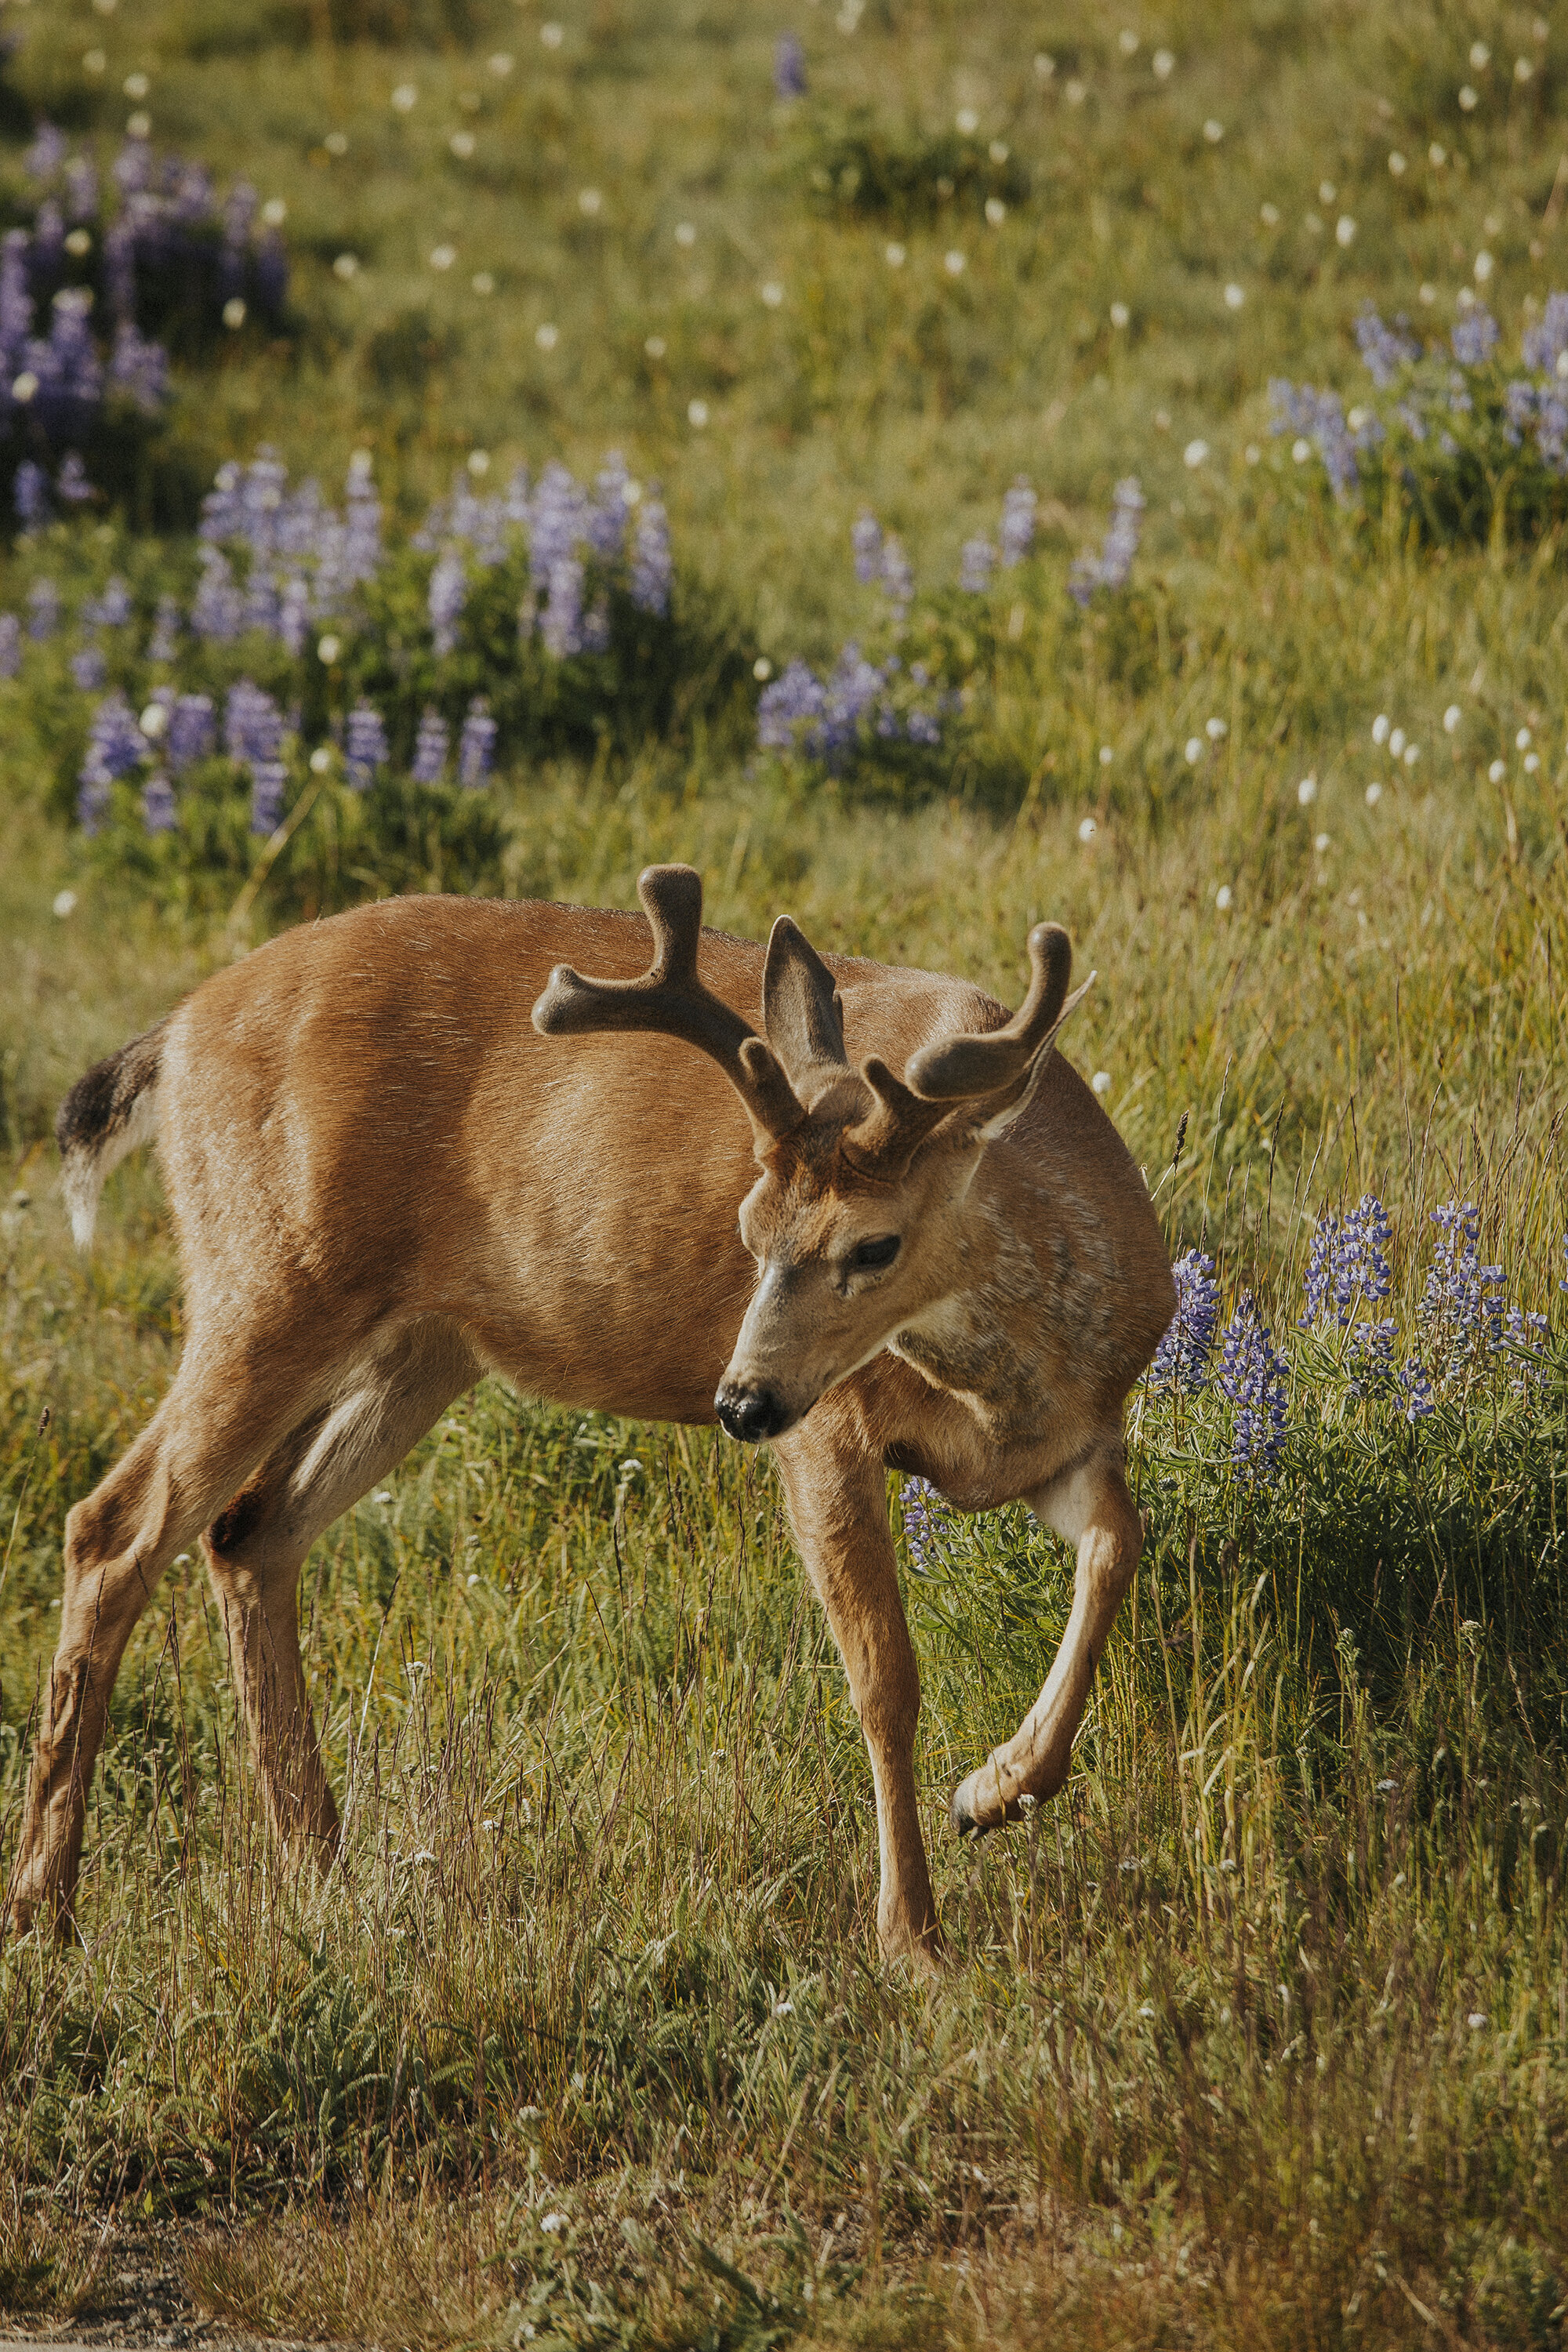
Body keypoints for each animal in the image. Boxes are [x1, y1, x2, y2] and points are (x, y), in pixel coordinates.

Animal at [9, 870, 1166, 1966]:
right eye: (748, 1227)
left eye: (874, 1245)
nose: (738, 1399)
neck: (1008, 1381)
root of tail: (179, 1029)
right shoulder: (831, 1429)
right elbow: (884, 1677)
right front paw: (915, 1938)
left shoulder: (1069, 1440)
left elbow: (1119, 1546)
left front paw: (997, 1789)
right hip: (268, 1276)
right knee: (113, 1527)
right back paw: (45, 1911)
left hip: (416, 1348)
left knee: (248, 1532)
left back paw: (321, 1868)